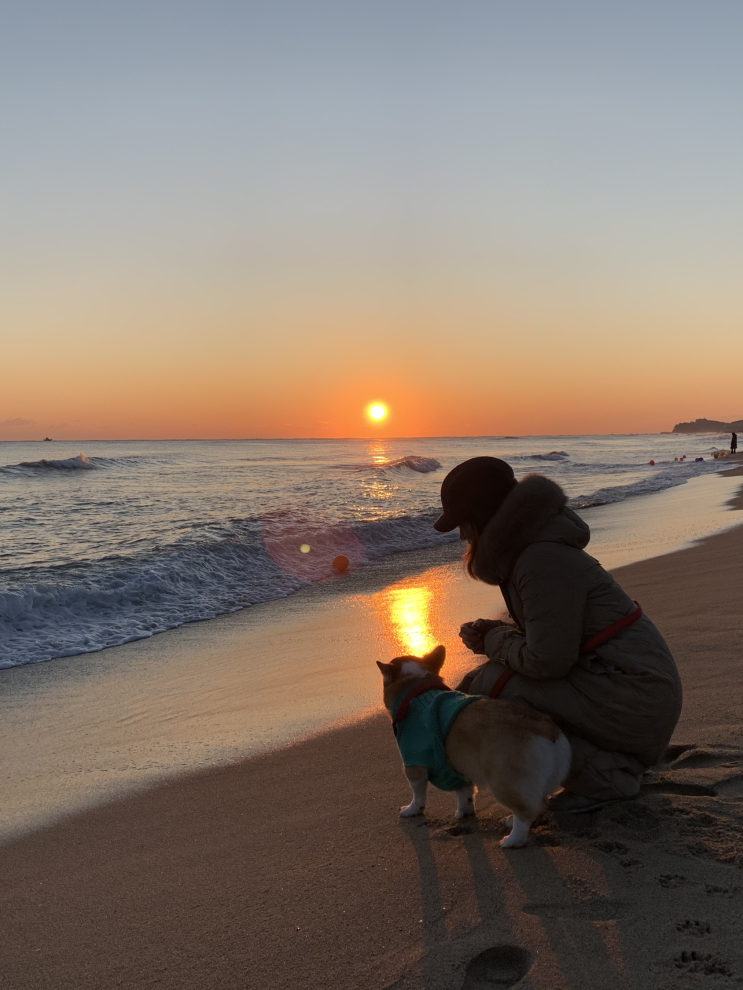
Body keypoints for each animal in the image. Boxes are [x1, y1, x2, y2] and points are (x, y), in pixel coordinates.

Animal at [380, 648, 572, 848]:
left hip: (504, 782)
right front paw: (464, 813)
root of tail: (547, 729)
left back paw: (513, 840)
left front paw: (411, 810)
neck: (415, 689)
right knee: (538, 804)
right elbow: (464, 794)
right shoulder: (460, 769)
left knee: (526, 812)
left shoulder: (414, 765)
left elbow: (418, 794)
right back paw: (511, 821)